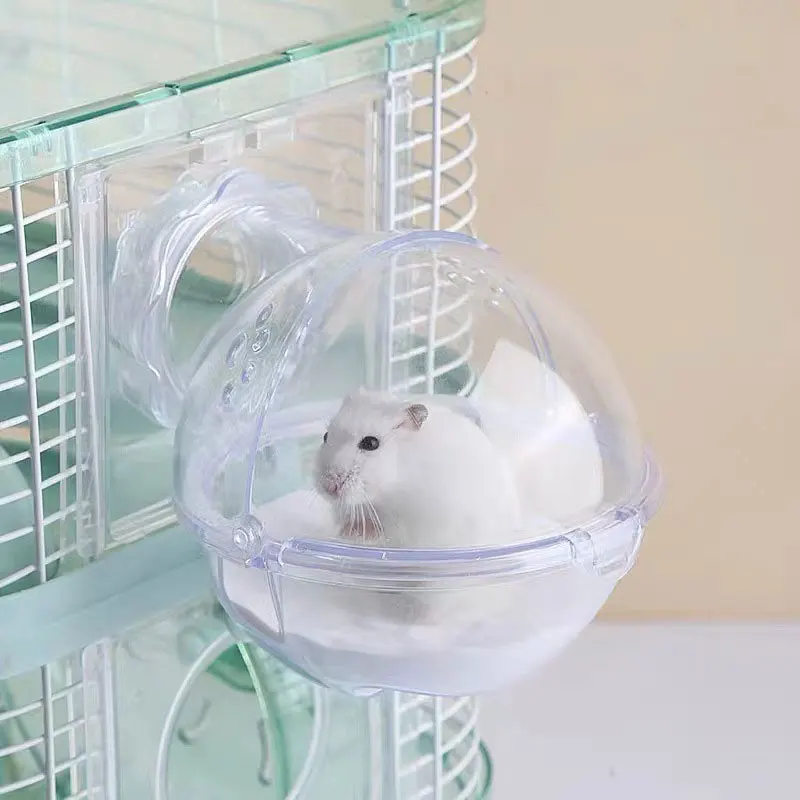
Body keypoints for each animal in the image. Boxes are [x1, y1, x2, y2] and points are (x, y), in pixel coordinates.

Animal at [314, 389, 521, 549]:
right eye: (325, 436)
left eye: (371, 443)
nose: (328, 487)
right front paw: (346, 531)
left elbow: (391, 532)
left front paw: (361, 532)